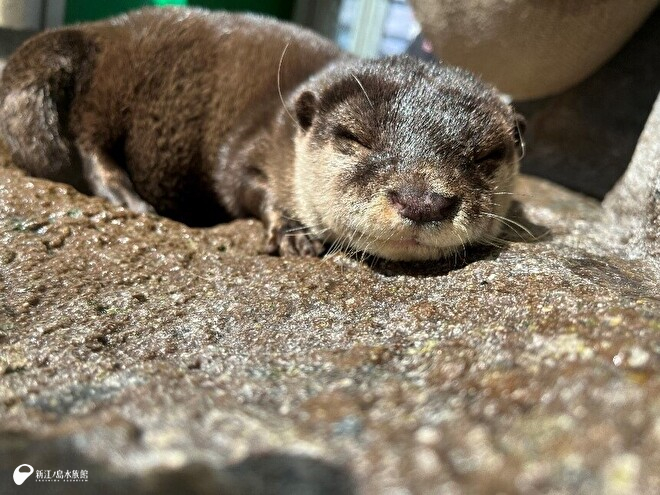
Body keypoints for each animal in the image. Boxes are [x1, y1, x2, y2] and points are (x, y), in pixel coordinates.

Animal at [0, 7, 524, 262]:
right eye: (354, 138)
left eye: (485, 156)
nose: (421, 201)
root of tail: (96, 31)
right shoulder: (255, 139)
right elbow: (240, 184)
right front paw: (293, 232)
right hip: (113, 84)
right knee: (90, 141)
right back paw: (126, 197)